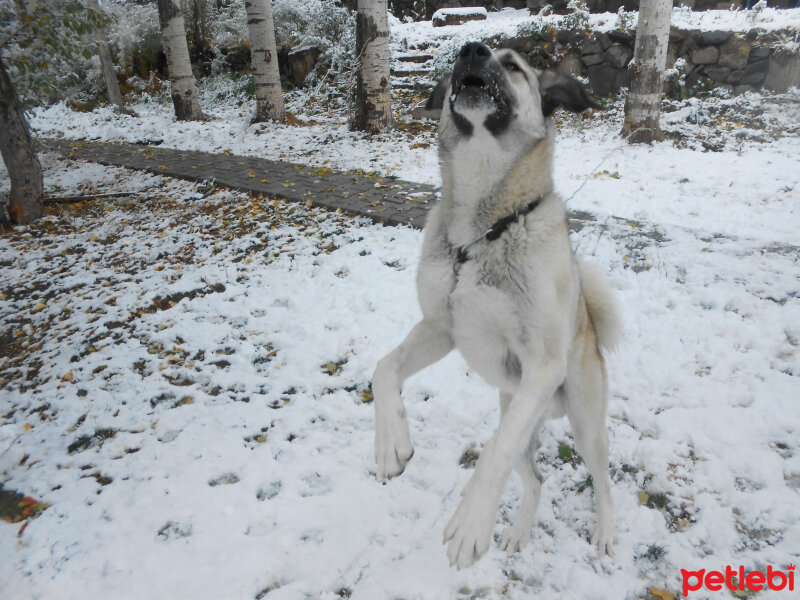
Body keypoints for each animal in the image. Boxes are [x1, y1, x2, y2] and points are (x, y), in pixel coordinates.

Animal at [372, 41, 620, 568]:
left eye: (512, 66)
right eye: (461, 63)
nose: (471, 48)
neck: (482, 230)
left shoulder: (541, 365)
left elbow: (493, 455)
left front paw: (470, 523)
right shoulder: (440, 327)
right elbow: (384, 369)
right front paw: (390, 445)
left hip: (583, 421)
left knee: (601, 478)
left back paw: (607, 532)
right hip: (519, 409)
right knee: (536, 479)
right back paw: (519, 532)